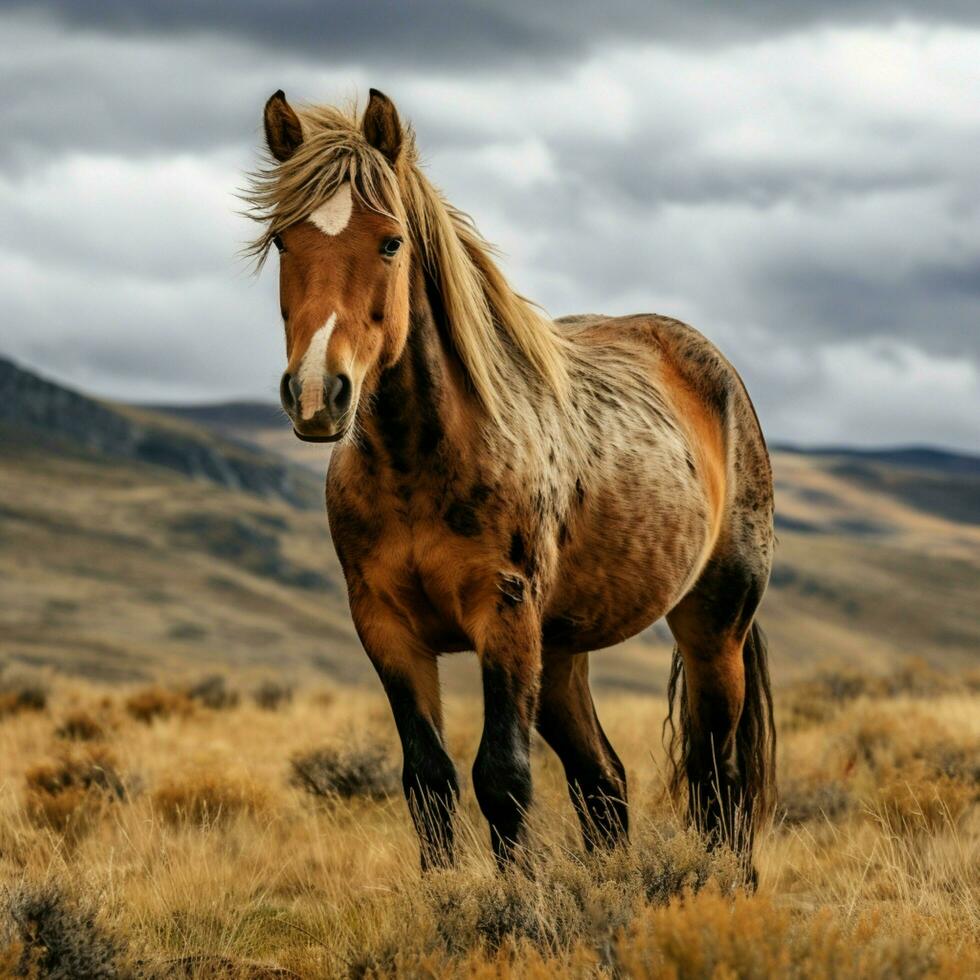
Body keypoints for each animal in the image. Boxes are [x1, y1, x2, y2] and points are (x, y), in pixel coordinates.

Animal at [245, 88, 772, 876]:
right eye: (283, 241)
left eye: (391, 242)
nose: (316, 394)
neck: (419, 464)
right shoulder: (387, 628)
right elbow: (428, 780)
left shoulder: (505, 615)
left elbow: (502, 778)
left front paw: (517, 897)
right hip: (561, 654)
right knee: (604, 782)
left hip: (712, 629)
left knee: (719, 780)